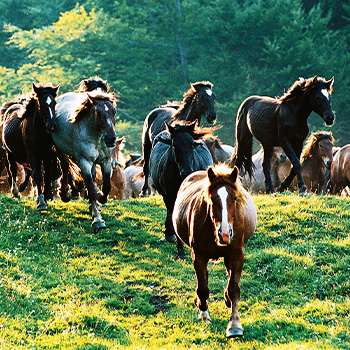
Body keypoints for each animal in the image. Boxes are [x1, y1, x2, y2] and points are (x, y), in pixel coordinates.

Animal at [52, 90, 117, 228]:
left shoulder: (106, 161)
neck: (97, 136)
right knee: (65, 166)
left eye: (114, 111)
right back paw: (65, 193)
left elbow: (106, 186)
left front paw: (100, 199)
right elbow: (91, 189)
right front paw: (98, 220)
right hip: (60, 149)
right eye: (98, 112)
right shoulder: (85, 162)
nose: (111, 139)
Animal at [172, 163, 258, 338]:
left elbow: (233, 289)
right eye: (212, 199)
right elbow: (203, 288)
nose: (224, 234)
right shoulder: (198, 256)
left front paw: (234, 325)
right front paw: (204, 314)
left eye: (234, 198)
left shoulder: (237, 254)